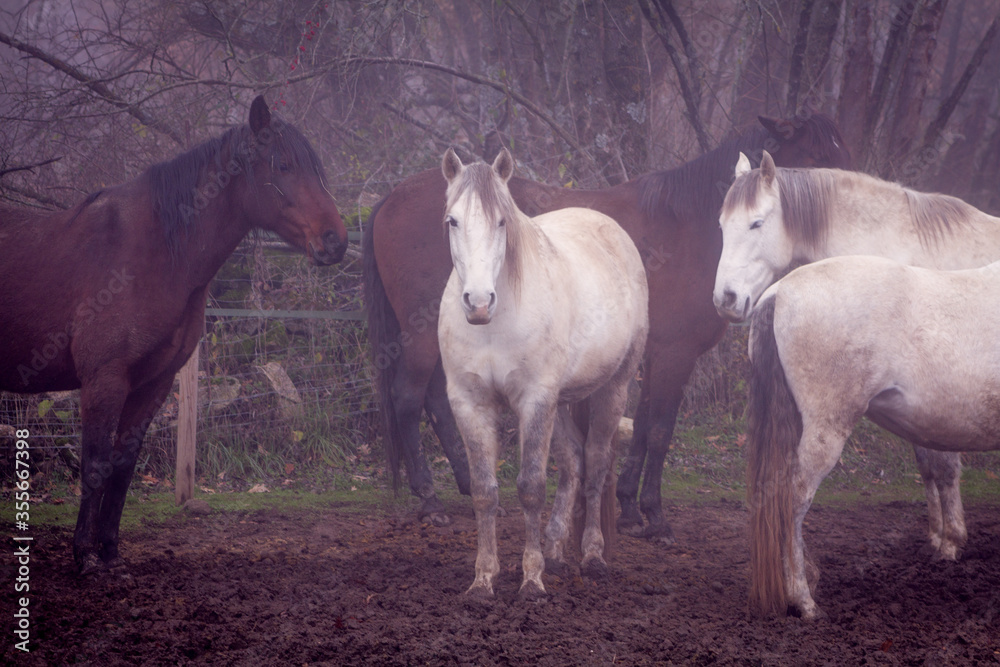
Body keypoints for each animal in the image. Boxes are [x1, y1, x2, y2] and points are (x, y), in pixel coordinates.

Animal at [0, 95, 348, 574]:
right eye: (283, 164)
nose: (337, 241)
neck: (153, 253)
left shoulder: (153, 384)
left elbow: (123, 468)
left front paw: (110, 553)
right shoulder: (104, 381)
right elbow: (95, 466)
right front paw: (85, 556)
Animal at [364, 113, 851, 536]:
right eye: (815, 161)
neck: (690, 228)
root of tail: (389, 199)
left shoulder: (652, 354)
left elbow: (643, 428)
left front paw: (630, 507)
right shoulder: (675, 355)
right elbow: (659, 430)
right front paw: (654, 515)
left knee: (433, 402)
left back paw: (466, 484)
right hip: (424, 337)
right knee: (408, 399)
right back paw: (430, 499)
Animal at [437, 148, 648, 596]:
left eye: (502, 221)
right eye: (453, 220)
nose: (478, 302)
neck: (495, 325)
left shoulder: (533, 401)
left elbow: (531, 487)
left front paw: (531, 578)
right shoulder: (470, 404)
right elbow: (484, 492)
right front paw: (483, 579)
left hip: (613, 388)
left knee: (596, 463)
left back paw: (592, 555)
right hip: (561, 402)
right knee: (573, 462)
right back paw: (554, 548)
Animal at [713, 150, 1000, 565]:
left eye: (756, 223)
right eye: (722, 225)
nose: (726, 299)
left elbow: (943, 467)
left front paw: (950, 539)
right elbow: (930, 467)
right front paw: (940, 535)